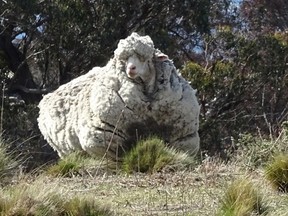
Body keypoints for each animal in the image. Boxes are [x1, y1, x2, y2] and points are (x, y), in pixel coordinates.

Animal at [37, 33, 200, 159]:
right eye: (124, 60)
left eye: (145, 58)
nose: (131, 69)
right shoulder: (105, 138)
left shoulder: (183, 138)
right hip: (66, 150)